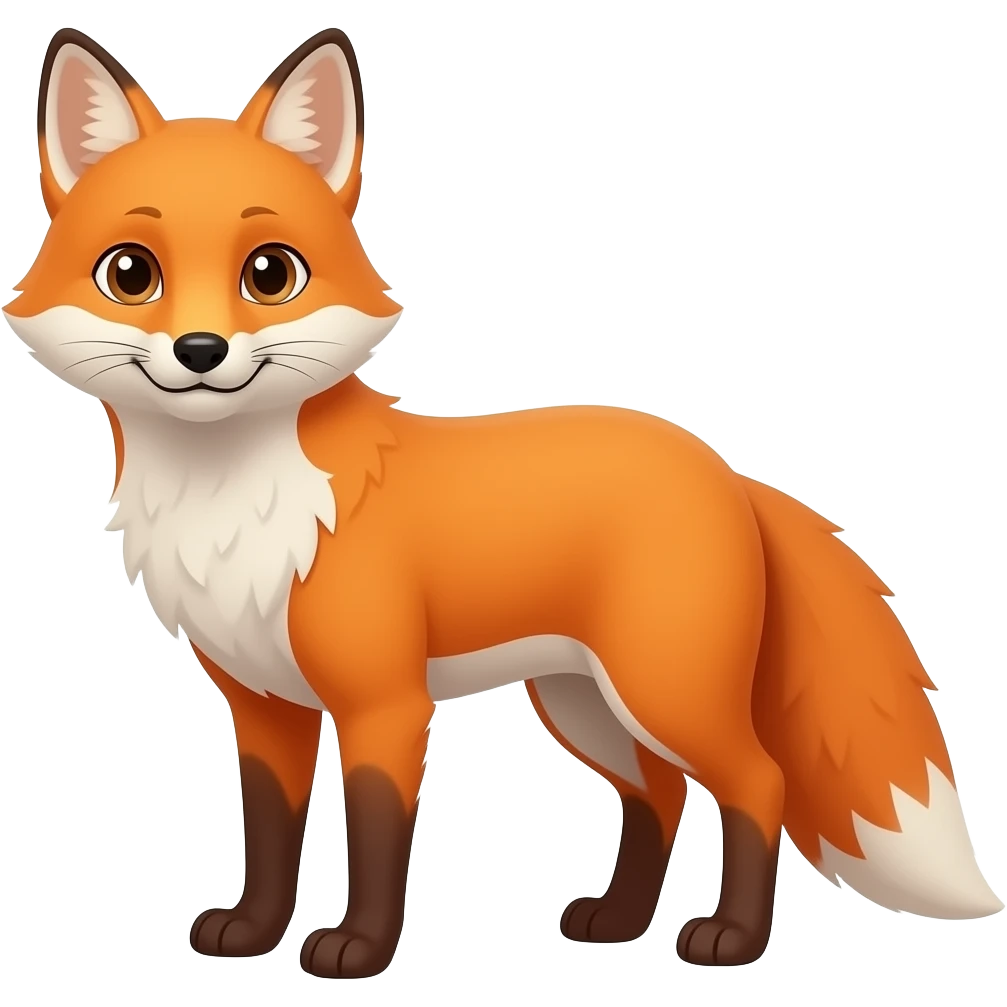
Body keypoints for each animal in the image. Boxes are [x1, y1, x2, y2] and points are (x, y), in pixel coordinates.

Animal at [4, 26, 1001, 979]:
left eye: (269, 273)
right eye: (131, 273)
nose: (202, 351)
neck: (234, 499)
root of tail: (724, 469)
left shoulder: (386, 702)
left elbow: (376, 838)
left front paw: (358, 950)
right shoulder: (263, 704)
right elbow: (270, 834)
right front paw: (252, 932)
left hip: (663, 689)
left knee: (757, 783)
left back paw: (731, 938)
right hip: (583, 703)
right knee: (659, 793)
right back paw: (617, 922)